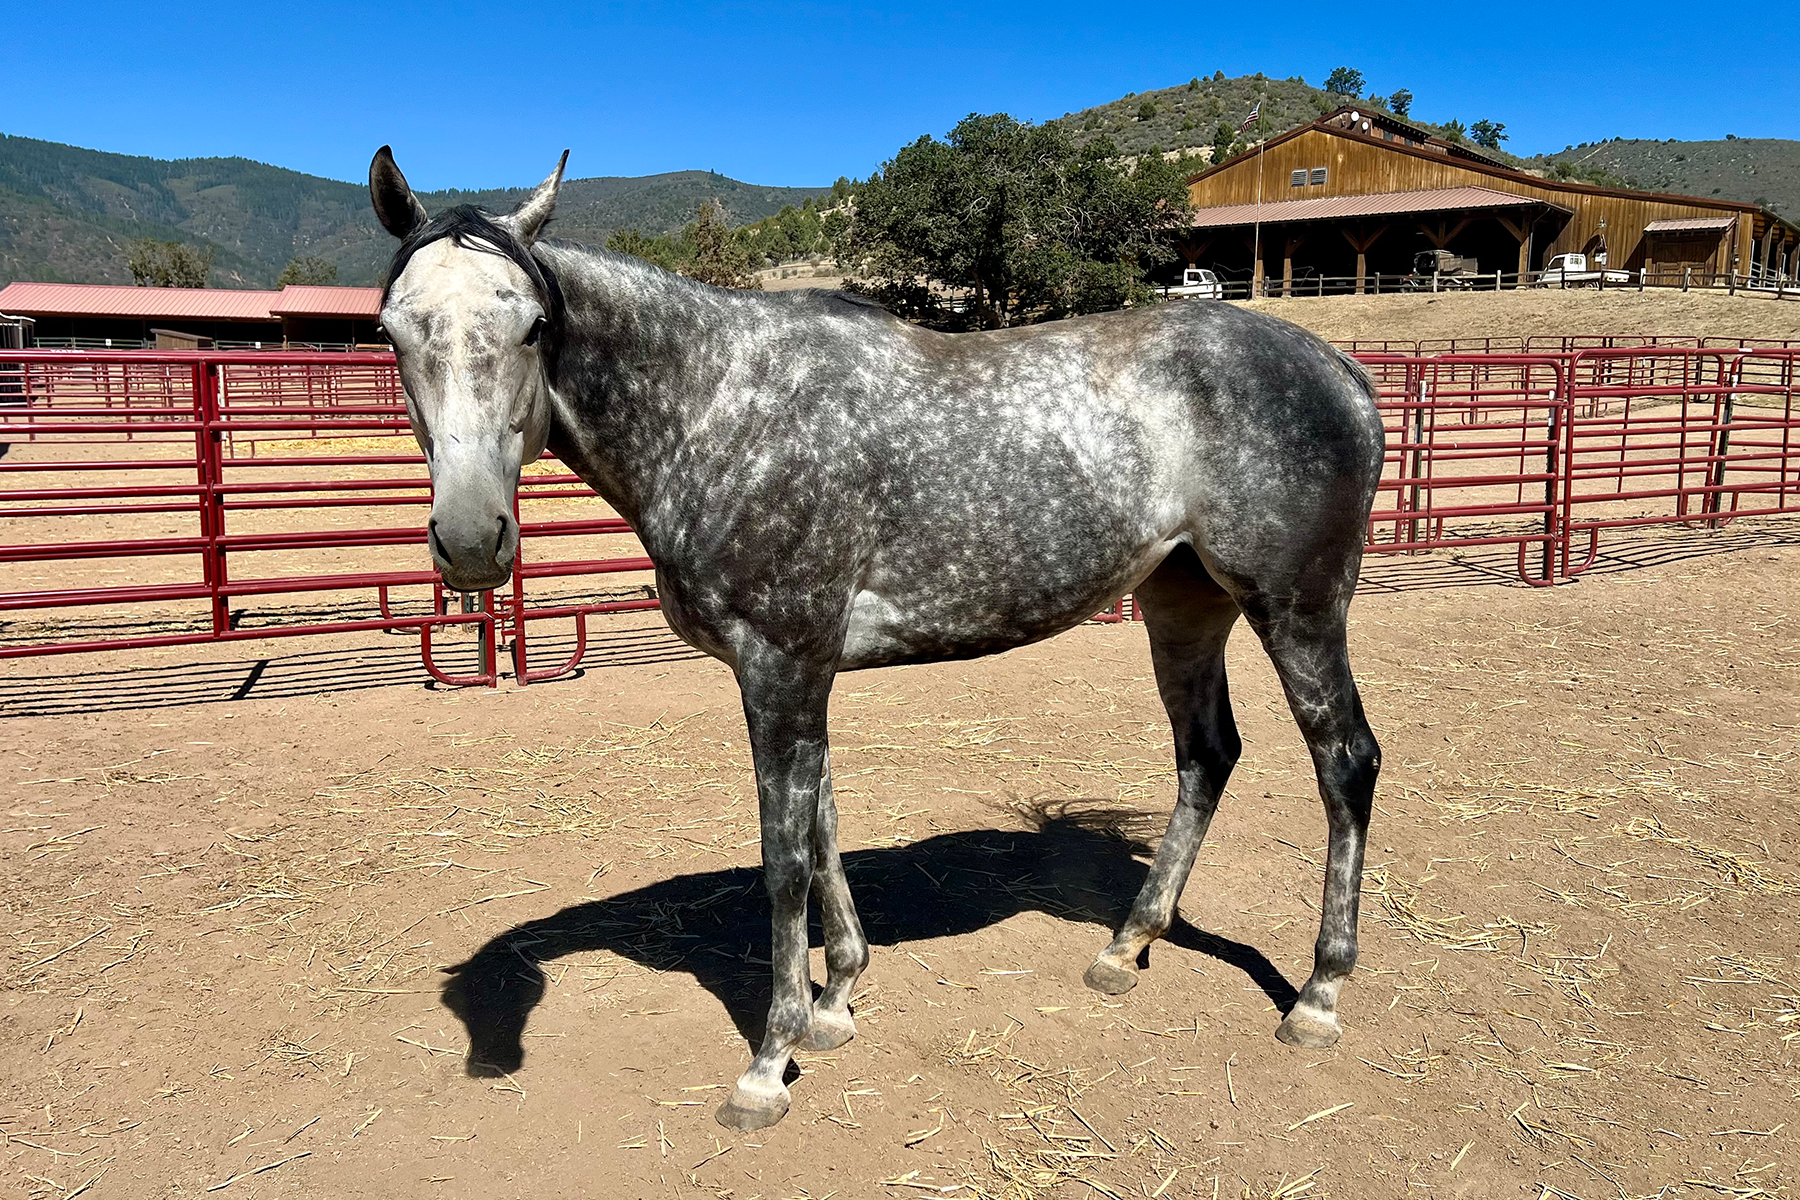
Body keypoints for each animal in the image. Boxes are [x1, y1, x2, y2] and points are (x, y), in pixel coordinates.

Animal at [369, 146, 1388, 1133]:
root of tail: (1341, 372)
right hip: (1184, 606)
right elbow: (822, 828)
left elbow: (783, 861)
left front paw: (768, 1064)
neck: (718, 410)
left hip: (1297, 609)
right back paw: (1124, 946)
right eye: (391, 331)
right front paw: (835, 1005)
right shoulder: (800, 671)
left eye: (535, 325)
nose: (471, 540)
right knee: (1206, 755)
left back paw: (1317, 996)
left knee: (1346, 763)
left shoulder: (779, 667)